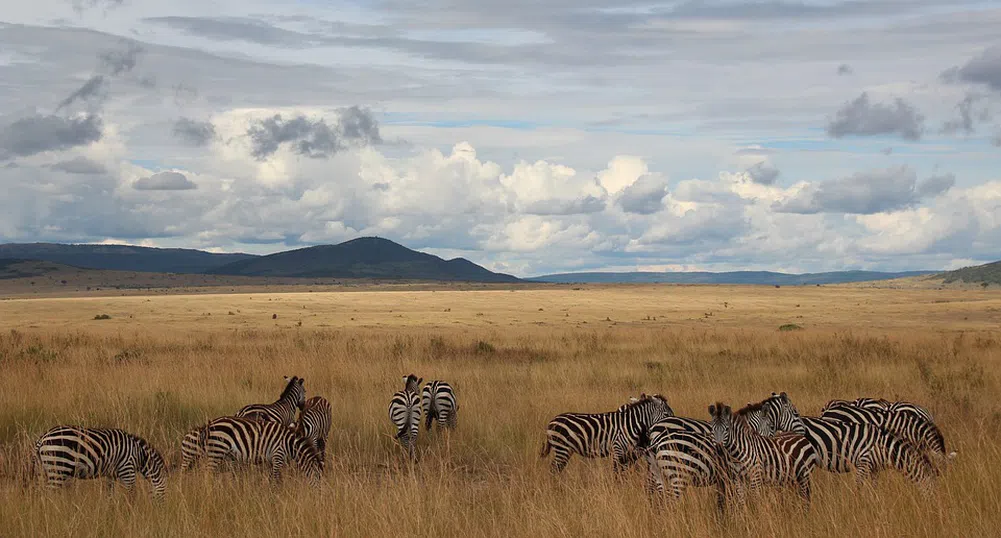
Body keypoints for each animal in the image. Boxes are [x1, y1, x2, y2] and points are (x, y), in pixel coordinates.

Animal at [32, 426, 166, 500]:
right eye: (164, 495)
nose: (161, 513)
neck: (140, 456)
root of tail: (42, 438)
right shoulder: (127, 469)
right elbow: (131, 494)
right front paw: (130, 512)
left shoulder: (111, 475)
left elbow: (110, 494)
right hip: (58, 468)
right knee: (49, 495)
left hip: (45, 470)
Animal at [540, 392, 672, 472]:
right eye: (667, 414)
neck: (631, 424)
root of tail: (552, 421)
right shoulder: (618, 449)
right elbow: (617, 472)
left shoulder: (627, 453)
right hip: (562, 448)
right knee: (554, 469)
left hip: (565, 449)